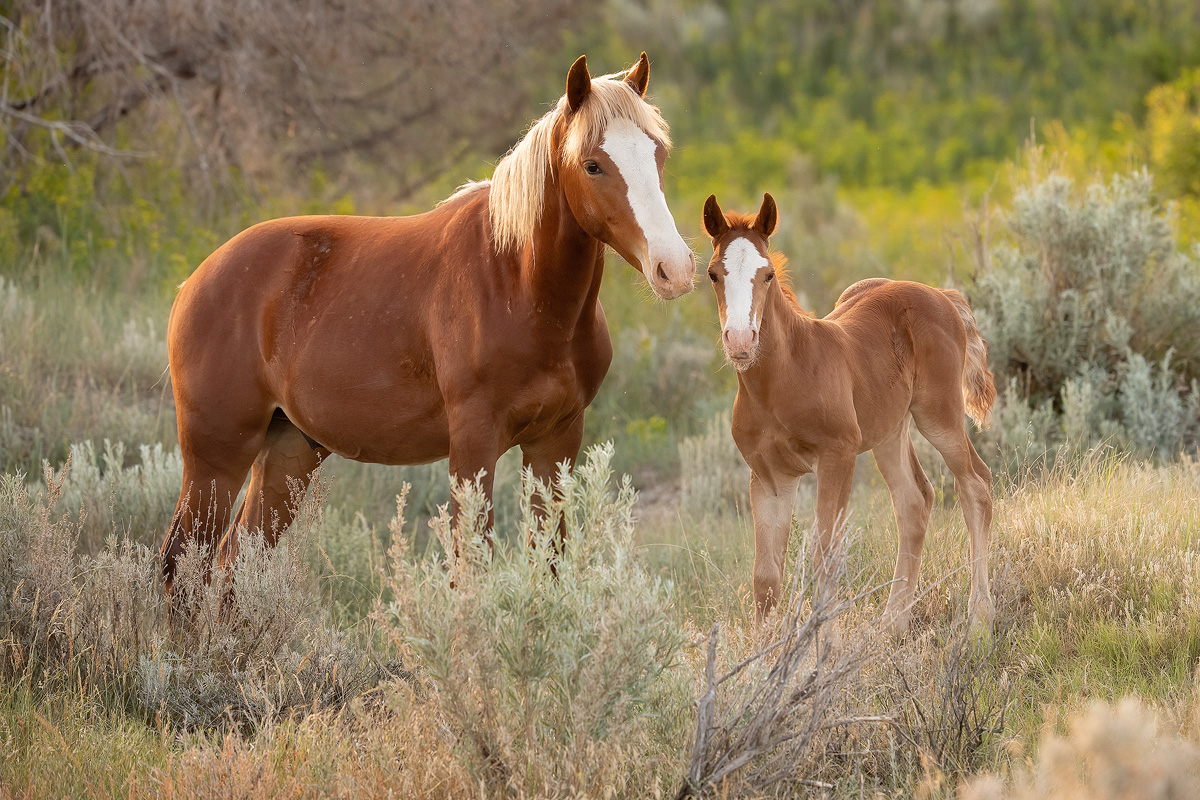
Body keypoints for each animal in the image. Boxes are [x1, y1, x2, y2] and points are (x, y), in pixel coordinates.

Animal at [159, 54, 696, 594]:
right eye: (592, 164)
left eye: (659, 153)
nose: (674, 268)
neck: (518, 286)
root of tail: (196, 280)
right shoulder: (473, 447)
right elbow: (470, 571)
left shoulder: (555, 442)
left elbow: (549, 563)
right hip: (215, 461)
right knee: (180, 568)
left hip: (288, 454)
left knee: (233, 565)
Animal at [700, 194, 998, 638]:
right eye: (713, 274)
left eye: (767, 275)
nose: (740, 341)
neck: (781, 380)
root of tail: (942, 295)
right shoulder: (769, 477)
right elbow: (765, 577)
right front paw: (766, 653)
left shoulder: (836, 457)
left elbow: (826, 556)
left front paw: (828, 647)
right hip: (890, 431)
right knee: (914, 500)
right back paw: (893, 623)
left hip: (938, 415)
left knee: (976, 484)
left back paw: (979, 617)